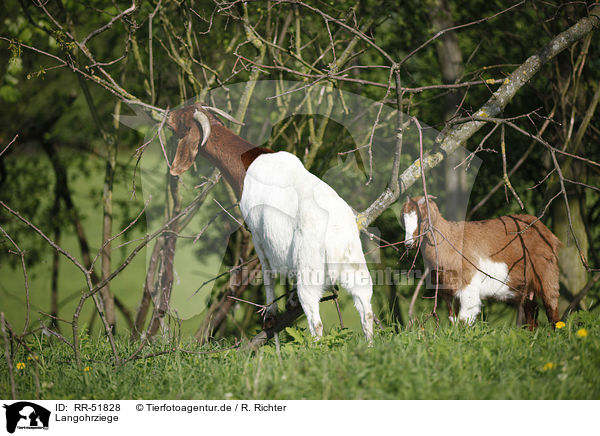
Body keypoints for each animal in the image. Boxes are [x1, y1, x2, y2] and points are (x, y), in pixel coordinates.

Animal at [400, 196, 560, 328]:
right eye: (403, 221)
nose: (408, 244)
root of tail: (545, 231)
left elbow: (464, 320)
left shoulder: (468, 286)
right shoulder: (447, 292)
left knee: (552, 308)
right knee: (531, 313)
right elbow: (453, 320)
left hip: (547, 272)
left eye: (422, 219)